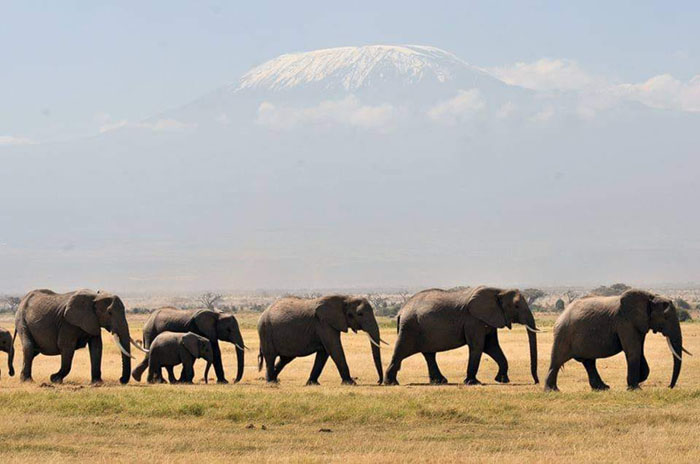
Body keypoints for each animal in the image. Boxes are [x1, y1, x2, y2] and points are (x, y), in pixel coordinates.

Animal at [14, 290, 144, 384]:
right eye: (109, 313)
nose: (121, 380)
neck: (95, 297)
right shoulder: (68, 323)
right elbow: (67, 347)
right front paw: (54, 379)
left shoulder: (93, 321)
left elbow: (97, 347)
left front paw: (97, 382)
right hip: (22, 321)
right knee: (29, 347)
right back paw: (27, 381)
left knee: (33, 352)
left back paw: (23, 378)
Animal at [258, 296, 388, 386]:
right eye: (359, 314)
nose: (378, 381)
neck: (345, 298)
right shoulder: (324, 324)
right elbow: (334, 349)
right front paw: (351, 383)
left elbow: (324, 353)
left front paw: (312, 384)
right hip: (265, 331)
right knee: (270, 356)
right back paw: (271, 382)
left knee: (285, 359)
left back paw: (274, 380)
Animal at [382, 286, 540, 384]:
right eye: (516, 306)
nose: (536, 381)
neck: (499, 290)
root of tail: (401, 311)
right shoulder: (473, 320)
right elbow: (478, 346)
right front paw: (473, 383)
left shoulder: (489, 319)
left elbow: (492, 346)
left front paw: (502, 380)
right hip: (410, 327)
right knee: (401, 351)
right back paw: (391, 383)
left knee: (429, 354)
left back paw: (440, 381)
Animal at [548, 290, 688, 392]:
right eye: (666, 317)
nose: (669, 387)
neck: (650, 296)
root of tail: (561, 315)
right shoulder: (625, 323)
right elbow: (633, 351)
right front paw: (635, 388)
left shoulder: (639, 324)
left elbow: (639, 351)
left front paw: (636, 381)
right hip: (563, 335)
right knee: (557, 362)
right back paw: (552, 390)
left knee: (589, 363)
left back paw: (602, 388)